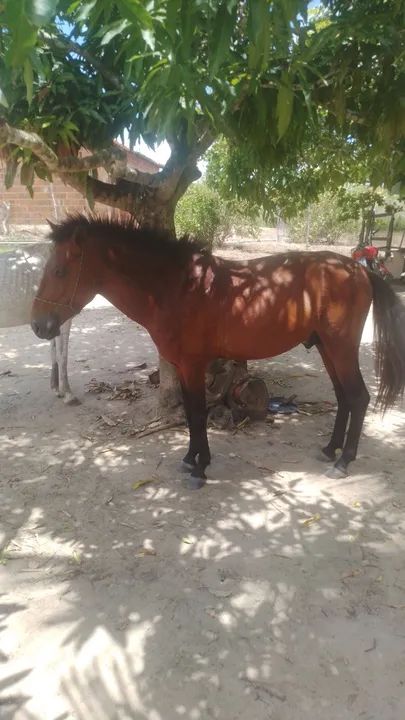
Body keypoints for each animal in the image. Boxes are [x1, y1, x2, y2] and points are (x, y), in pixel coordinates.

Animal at [31, 215, 405, 489]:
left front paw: (200, 468)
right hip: (328, 349)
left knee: (358, 398)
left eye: (60, 270)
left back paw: (343, 461)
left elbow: (197, 414)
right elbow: (190, 413)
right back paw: (330, 450)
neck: (178, 287)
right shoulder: (182, 366)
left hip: (341, 349)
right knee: (344, 397)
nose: (38, 325)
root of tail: (358, 270)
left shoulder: (193, 365)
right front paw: (190, 459)